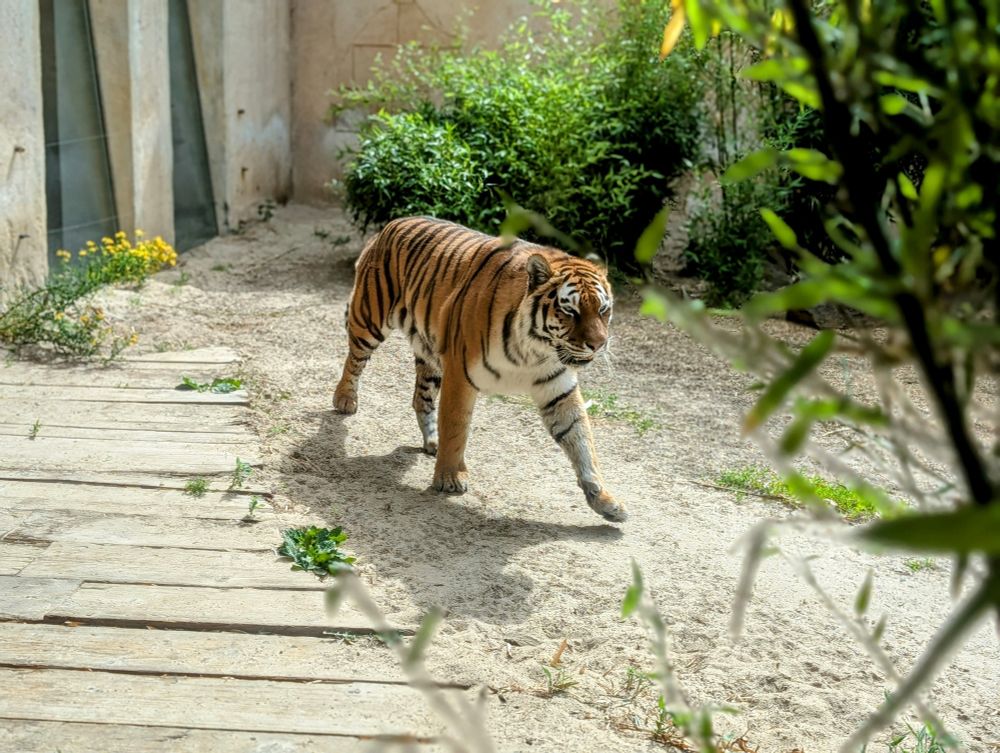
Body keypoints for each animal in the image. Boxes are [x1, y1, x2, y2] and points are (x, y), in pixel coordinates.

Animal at [333, 216, 627, 523]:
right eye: (571, 311)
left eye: (603, 310)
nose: (599, 344)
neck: (535, 349)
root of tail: (393, 223)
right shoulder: (460, 375)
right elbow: (456, 428)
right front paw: (449, 478)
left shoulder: (558, 389)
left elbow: (582, 442)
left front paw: (604, 500)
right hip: (370, 320)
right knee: (354, 360)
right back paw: (345, 400)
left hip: (430, 352)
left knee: (420, 398)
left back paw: (432, 442)